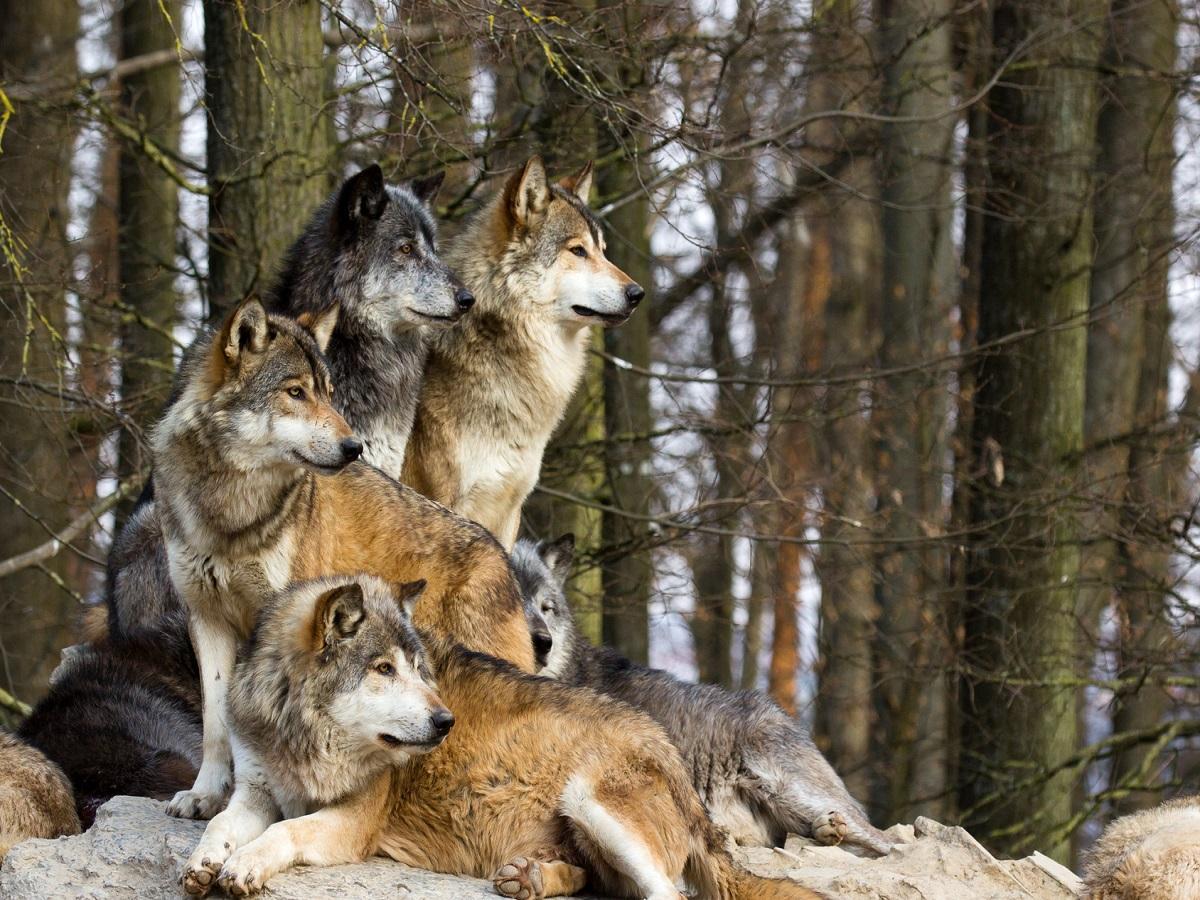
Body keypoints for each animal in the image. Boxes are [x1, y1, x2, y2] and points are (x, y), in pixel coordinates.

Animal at [153, 300, 535, 820]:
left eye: (329, 394)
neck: (232, 512)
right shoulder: (206, 617)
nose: (354, 447)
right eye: (295, 392)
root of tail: (501, 553)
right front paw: (206, 795)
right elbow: (215, 723)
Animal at [177, 578, 820, 900]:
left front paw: (244, 867)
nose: (445, 722)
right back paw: (530, 879)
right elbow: (221, 824)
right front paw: (206, 861)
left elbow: (285, 831)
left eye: (420, 668)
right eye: (384, 669)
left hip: (591, 802)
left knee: (670, 896)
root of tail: (677, 763)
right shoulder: (254, 792)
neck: (302, 736)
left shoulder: (353, 822)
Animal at [511, 535, 897, 859]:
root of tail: (784, 717)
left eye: (546, 608)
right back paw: (824, 832)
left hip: (790, 787)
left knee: (887, 842)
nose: (542, 643)